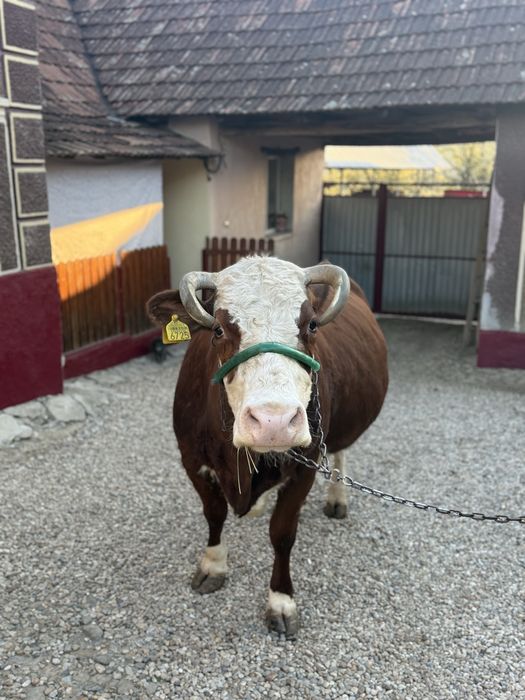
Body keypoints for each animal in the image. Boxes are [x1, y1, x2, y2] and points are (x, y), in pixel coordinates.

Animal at [147, 255, 388, 638]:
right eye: (218, 330)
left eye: (312, 325)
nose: (273, 420)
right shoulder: (191, 458)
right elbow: (213, 513)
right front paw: (213, 565)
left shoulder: (304, 467)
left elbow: (282, 533)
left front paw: (281, 601)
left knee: (340, 450)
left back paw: (337, 497)